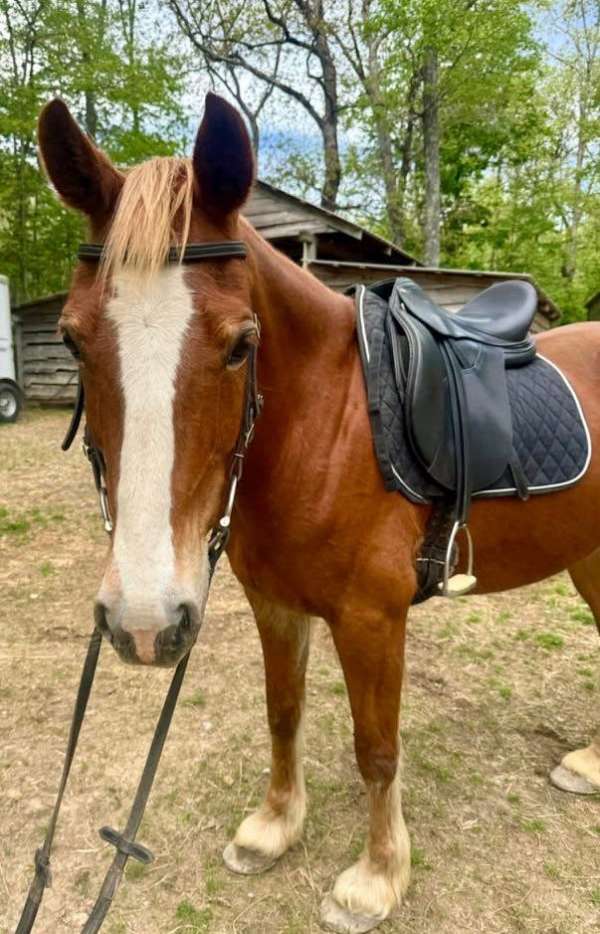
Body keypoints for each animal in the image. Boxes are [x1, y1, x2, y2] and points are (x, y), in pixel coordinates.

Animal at [37, 92, 600, 934]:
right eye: (73, 341)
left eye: (242, 344)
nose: (142, 624)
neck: (326, 429)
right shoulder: (274, 603)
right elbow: (284, 712)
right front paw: (274, 829)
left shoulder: (373, 618)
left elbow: (377, 748)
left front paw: (376, 879)